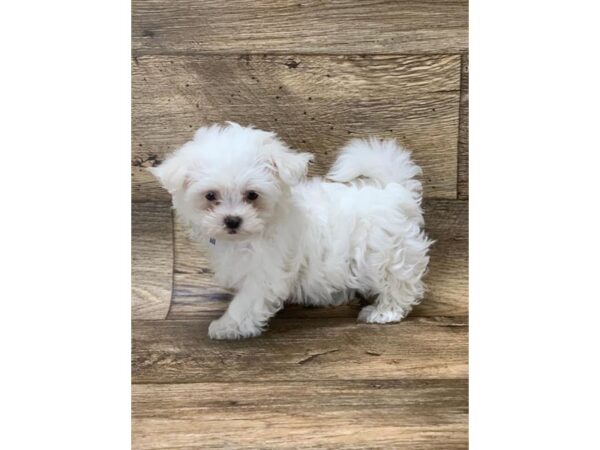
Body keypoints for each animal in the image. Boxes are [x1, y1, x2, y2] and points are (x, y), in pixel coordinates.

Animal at [150, 121, 432, 340]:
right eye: (210, 196)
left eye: (252, 195)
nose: (232, 220)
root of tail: (393, 191)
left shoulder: (265, 271)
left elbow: (246, 302)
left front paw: (227, 326)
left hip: (386, 254)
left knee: (399, 283)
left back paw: (384, 312)